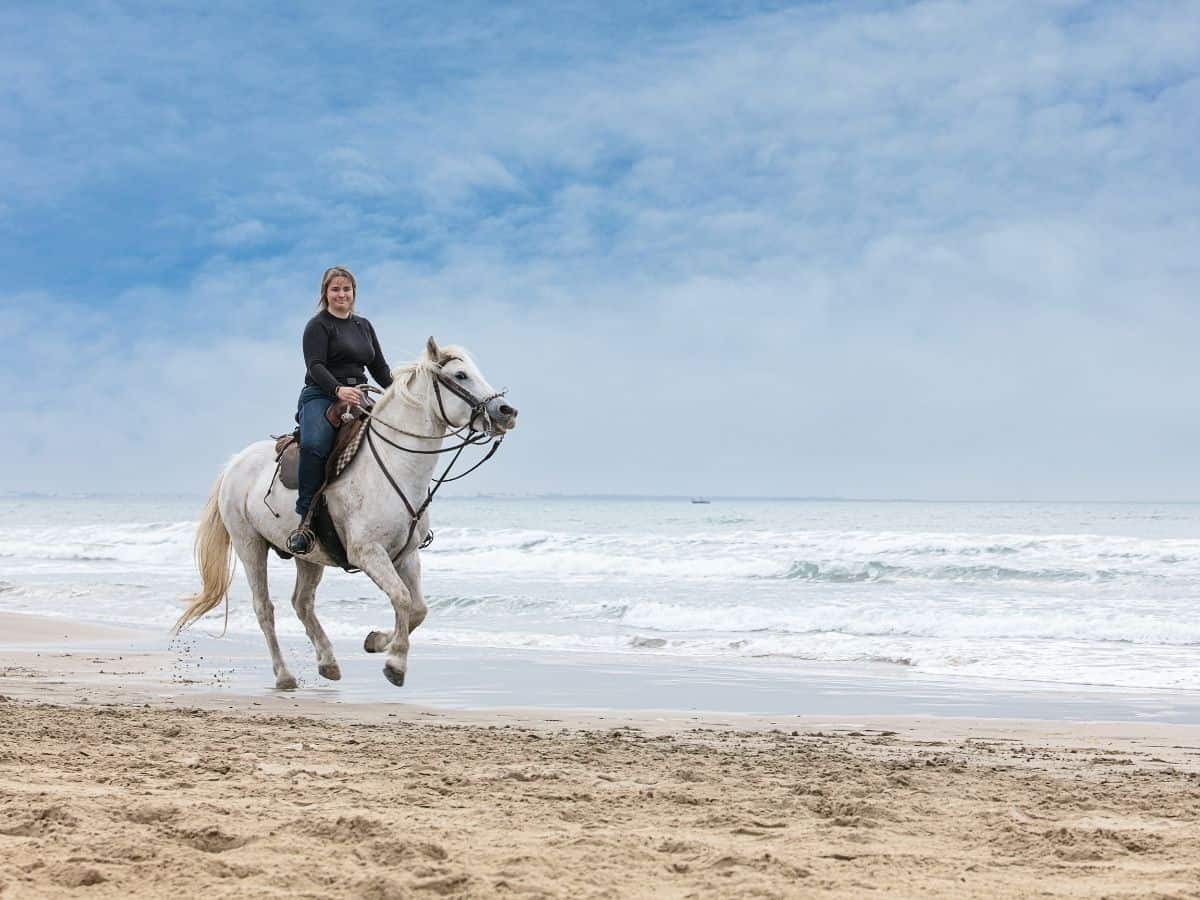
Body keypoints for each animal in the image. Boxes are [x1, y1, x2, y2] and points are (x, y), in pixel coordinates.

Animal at [175, 338, 520, 691]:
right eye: (461, 375)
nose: (506, 412)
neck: (395, 464)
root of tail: (235, 463)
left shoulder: (407, 555)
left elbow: (418, 609)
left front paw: (376, 641)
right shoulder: (368, 552)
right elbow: (402, 598)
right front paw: (395, 663)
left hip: (309, 555)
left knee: (302, 603)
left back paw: (328, 662)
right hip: (249, 545)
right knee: (264, 608)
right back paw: (284, 675)